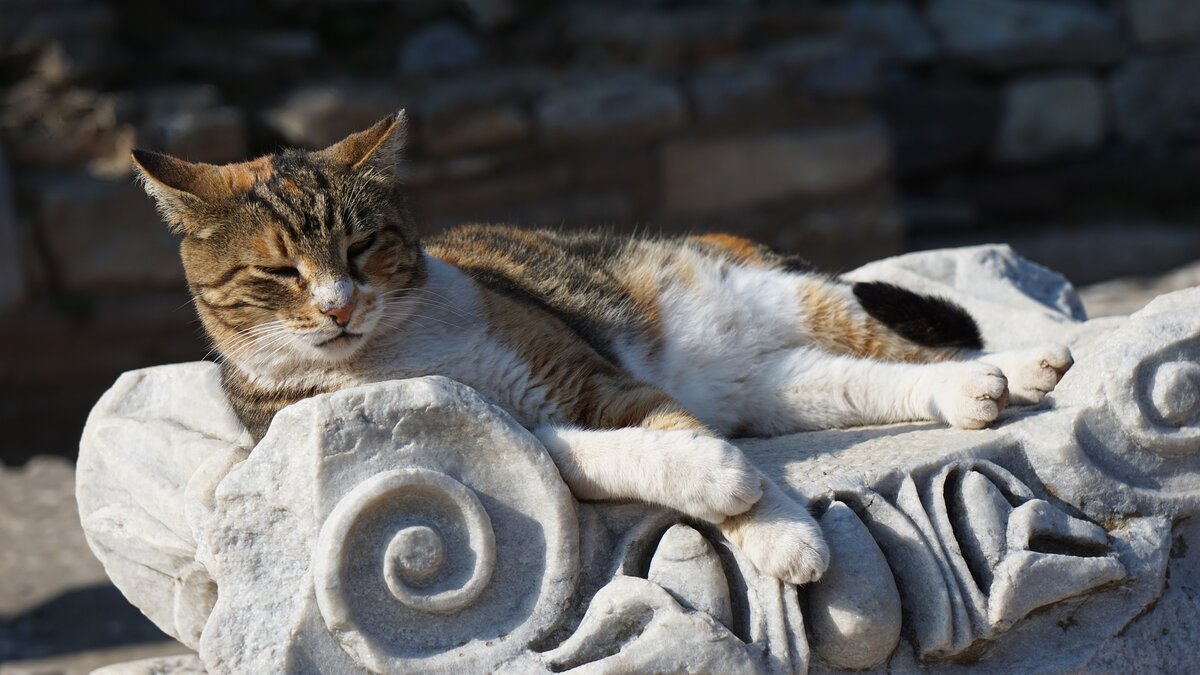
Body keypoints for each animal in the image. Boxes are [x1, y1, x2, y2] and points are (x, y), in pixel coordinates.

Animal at [131, 111, 1070, 583]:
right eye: (279, 271)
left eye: (363, 247)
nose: (339, 304)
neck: (398, 353)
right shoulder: (524, 430)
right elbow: (609, 456)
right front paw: (743, 502)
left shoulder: (588, 377)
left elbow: (667, 430)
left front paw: (771, 523)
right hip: (789, 386)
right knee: (879, 380)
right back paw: (985, 391)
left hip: (801, 300)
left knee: (917, 349)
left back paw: (1024, 366)